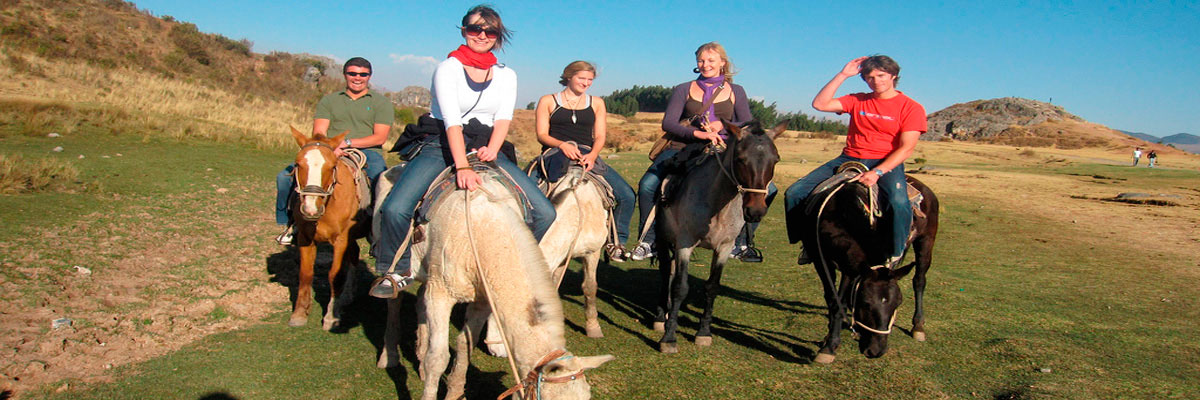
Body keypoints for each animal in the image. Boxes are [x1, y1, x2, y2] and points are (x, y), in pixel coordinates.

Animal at [286, 126, 369, 329]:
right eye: (298, 164)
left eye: (332, 167)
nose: (310, 208)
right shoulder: (305, 238)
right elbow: (306, 274)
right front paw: (299, 313)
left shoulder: (341, 240)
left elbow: (334, 276)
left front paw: (332, 316)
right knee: (354, 254)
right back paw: (347, 295)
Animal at [652, 118, 782, 353]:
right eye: (740, 159)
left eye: (775, 160)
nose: (756, 211)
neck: (717, 204)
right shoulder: (685, 243)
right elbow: (680, 287)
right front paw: (669, 337)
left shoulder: (724, 247)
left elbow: (712, 287)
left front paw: (703, 332)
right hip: (663, 238)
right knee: (666, 272)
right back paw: (660, 317)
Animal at [801, 164, 940, 360]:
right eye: (865, 303)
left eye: (898, 303)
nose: (876, 351)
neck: (840, 216)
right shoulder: (821, 259)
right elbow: (834, 299)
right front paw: (829, 342)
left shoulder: (851, 267)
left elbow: (841, 300)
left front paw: (831, 343)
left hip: (926, 241)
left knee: (919, 281)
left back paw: (918, 327)